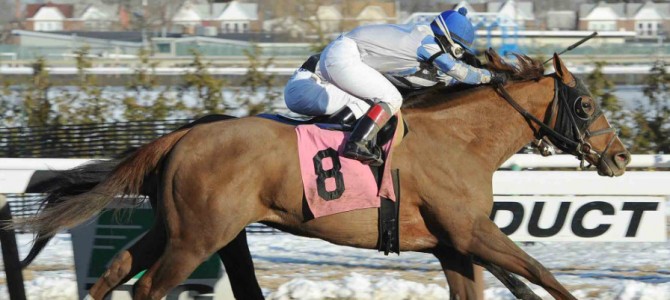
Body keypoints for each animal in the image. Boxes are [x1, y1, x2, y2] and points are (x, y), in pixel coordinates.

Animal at [18, 52, 632, 298]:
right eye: (585, 105)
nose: (621, 156)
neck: (462, 141)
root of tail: (185, 134)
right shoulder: (469, 230)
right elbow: (542, 273)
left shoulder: (450, 245)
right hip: (198, 237)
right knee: (146, 287)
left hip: (176, 228)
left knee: (115, 271)